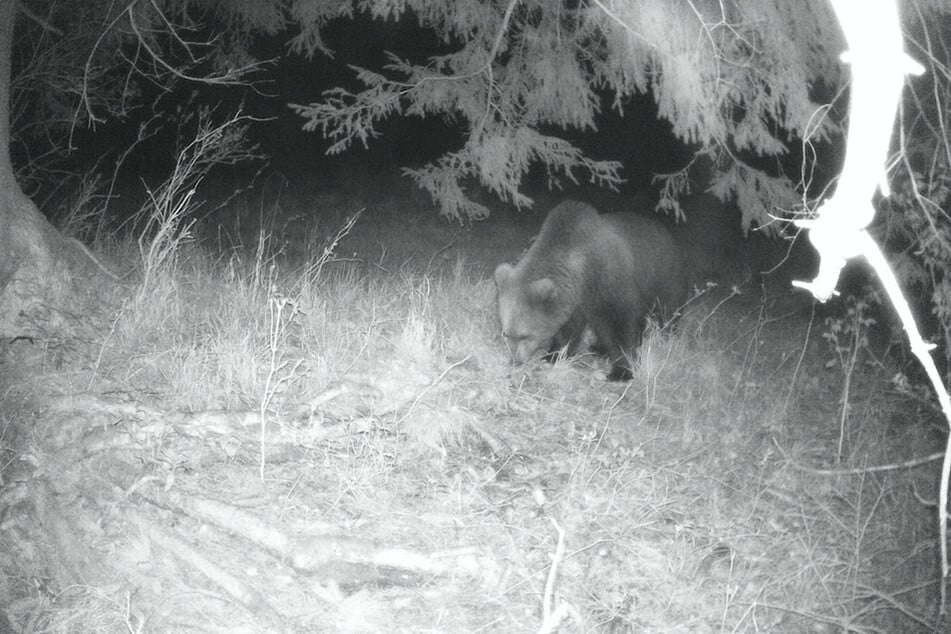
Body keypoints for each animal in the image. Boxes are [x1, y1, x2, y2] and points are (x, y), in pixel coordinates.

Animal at [494, 200, 688, 380]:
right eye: (506, 333)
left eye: (525, 335)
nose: (515, 360)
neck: (581, 271)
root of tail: (667, 233)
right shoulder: (573, 300)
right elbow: (569, 328)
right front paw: (554, 354)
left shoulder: (608, 281)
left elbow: (619, 322)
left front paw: (621, 371)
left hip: (664, 277)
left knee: (667, 312)